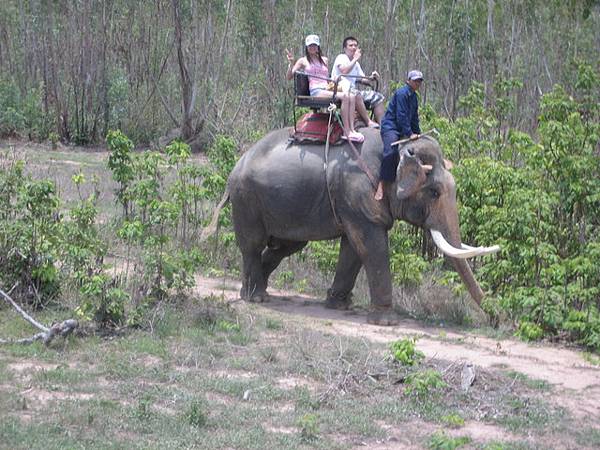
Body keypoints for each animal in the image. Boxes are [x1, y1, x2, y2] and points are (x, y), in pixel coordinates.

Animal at [204, 126, 500, 324]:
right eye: (435, 192)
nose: (497, 320)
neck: (398, 149)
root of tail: (236, 165)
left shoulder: (353, 204)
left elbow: (353, 248)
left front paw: (339, 305)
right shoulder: (358, 193)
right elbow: (371, 246)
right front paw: (386, 321)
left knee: (285, 246)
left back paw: (257, 291)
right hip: (246, 199)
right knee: (253, 245)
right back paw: (255, 298)